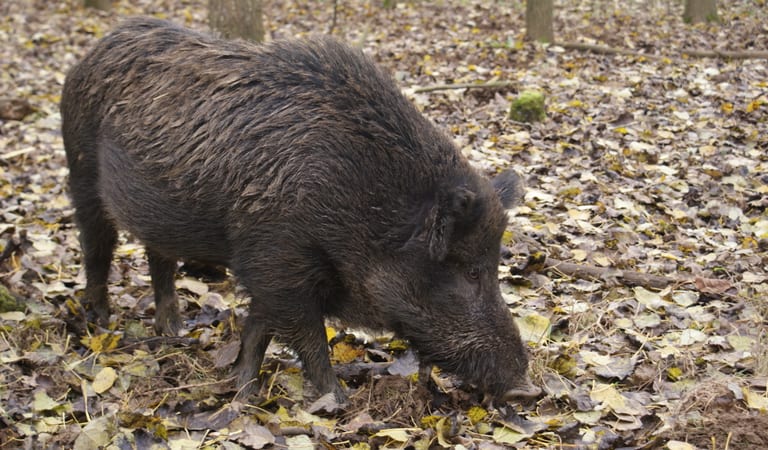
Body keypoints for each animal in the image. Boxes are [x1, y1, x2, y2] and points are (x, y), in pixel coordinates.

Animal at [61, 17, 540, 404]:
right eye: (471, 272)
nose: (528, 390)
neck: (366, 203)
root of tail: (97, 46)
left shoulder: (272, 269)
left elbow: (258, 328)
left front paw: (244, 391)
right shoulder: (279, 261)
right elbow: (307, 339)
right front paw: (335, 401)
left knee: (157, 256)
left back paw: (173, 331)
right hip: (80, 171)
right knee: (96, 246)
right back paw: (99, 322)